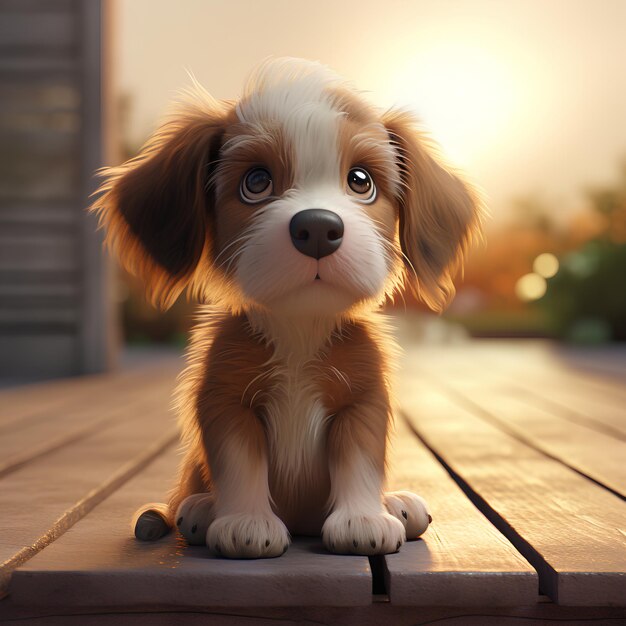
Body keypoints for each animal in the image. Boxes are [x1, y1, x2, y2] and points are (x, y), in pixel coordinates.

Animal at [92, 58, 480, 556]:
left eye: (361, 181)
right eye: (256, 182)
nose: (317, 228)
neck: (300, 326)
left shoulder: (363, 401)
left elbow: (360, 460)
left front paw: (362, 518)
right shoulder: (225, 400)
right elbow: (240, 462)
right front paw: (246, 521)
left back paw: (396, 504)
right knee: (186, 490)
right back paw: (199, 509)